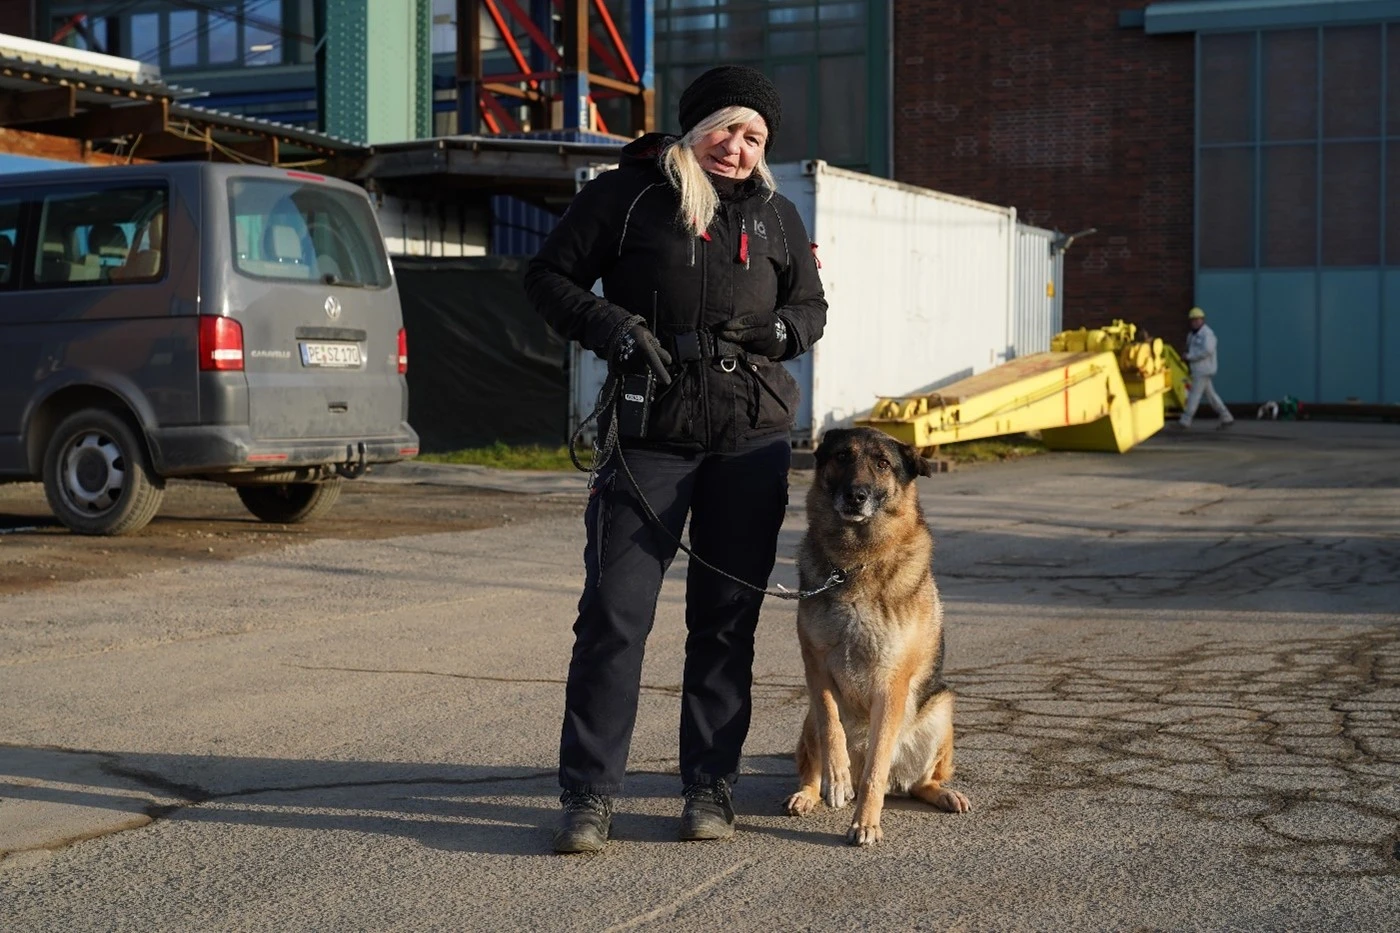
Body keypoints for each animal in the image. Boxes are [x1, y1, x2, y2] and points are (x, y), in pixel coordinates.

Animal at [784, 425, 968, 840]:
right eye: (842, 456)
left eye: (882, 464)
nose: (856, 494)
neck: (853, 563)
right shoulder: (816, 668)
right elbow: (832, 728)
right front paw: (837, 778)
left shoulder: (891, 684)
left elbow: (874, 770)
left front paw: (866, 822)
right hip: (808, 720)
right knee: (810, 767)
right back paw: (808, 793)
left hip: (940, 711)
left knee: (919, 783)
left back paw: (944, 794)